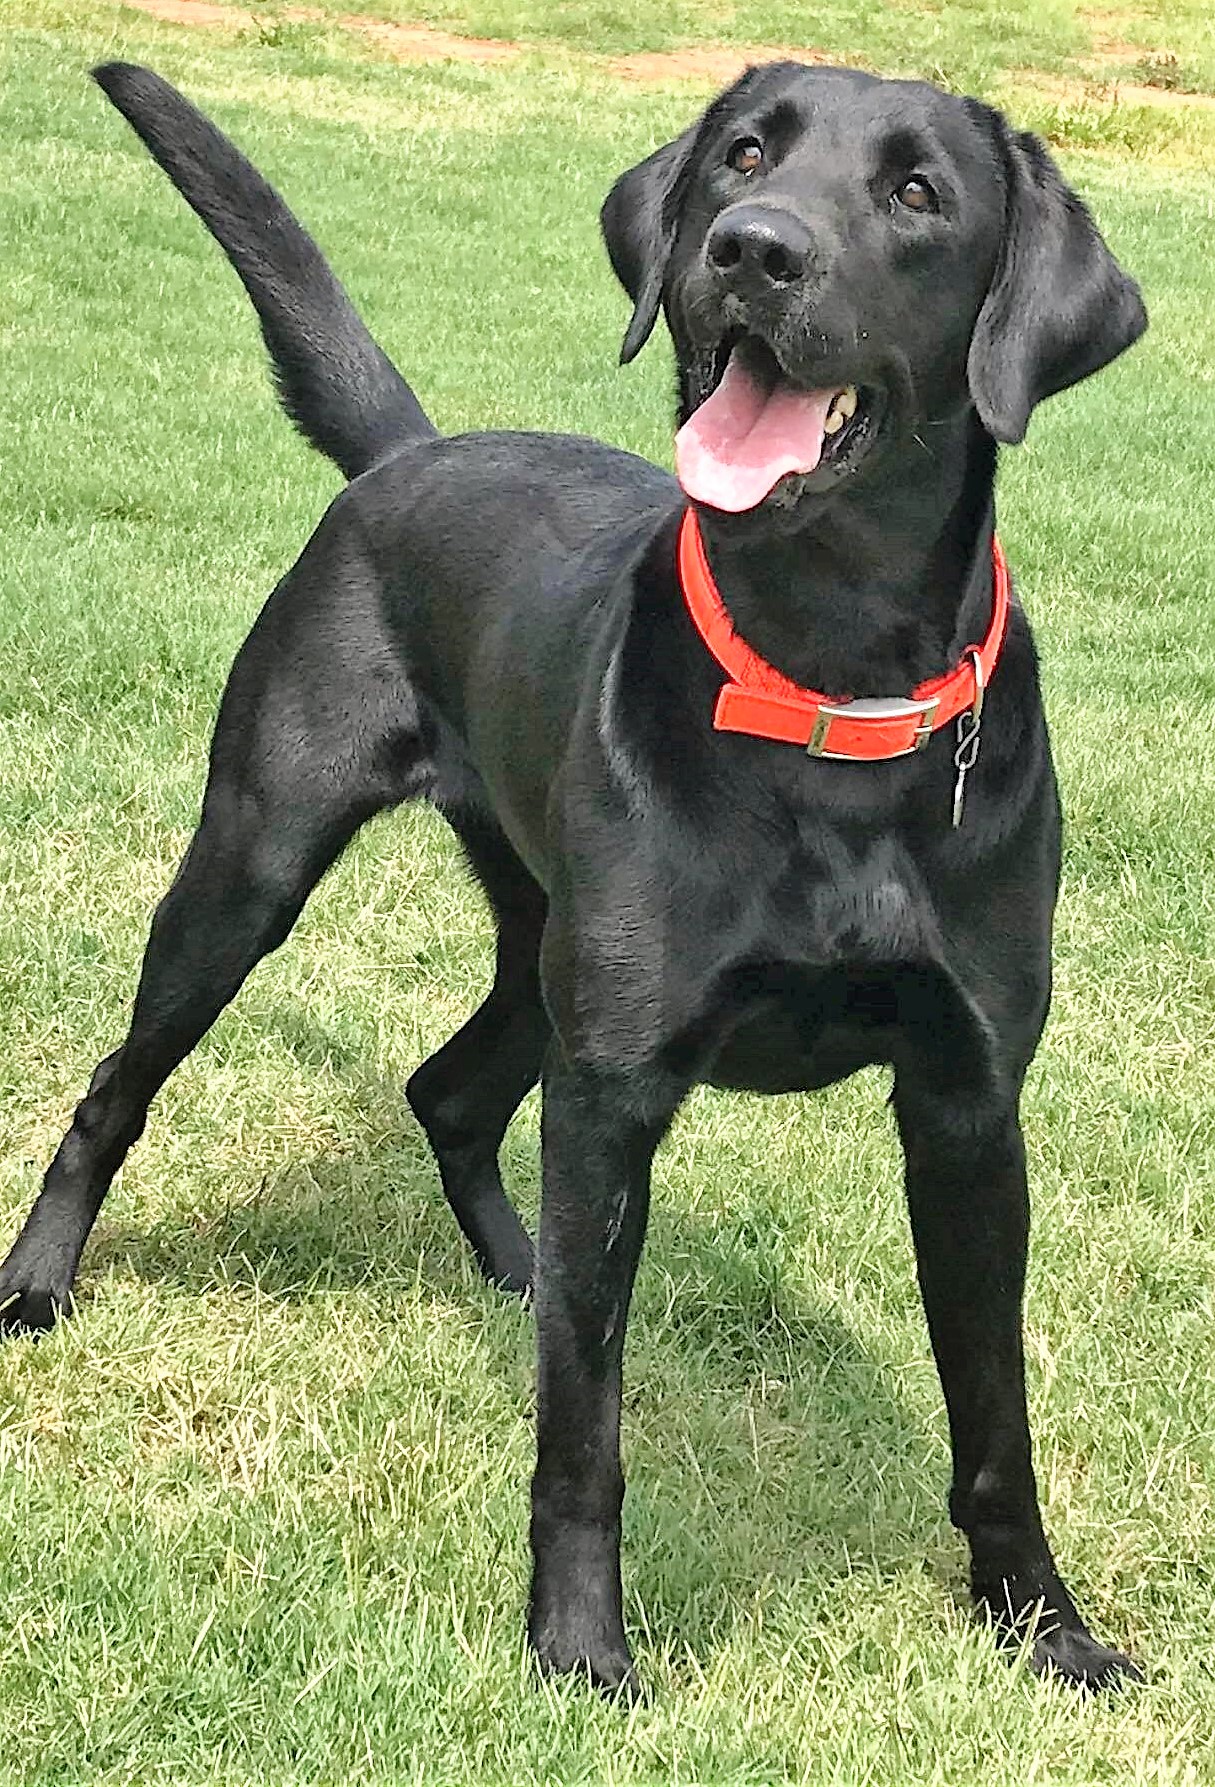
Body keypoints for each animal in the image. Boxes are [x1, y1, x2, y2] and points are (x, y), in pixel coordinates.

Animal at [0, 62, 1143, 1694]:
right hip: (253, 861)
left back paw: (520, 1270)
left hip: (540, 947)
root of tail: (406, 452)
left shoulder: (967, 1106)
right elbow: (582, 1431)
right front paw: (581, 1648)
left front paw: (1044, 1626)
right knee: (121, 1081)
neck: (823, 685)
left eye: (919, 193)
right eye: (743, 153)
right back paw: (40, 1280)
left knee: (450, 1092)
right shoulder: (615, 1086)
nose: (750, 249)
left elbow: (994, 1416)